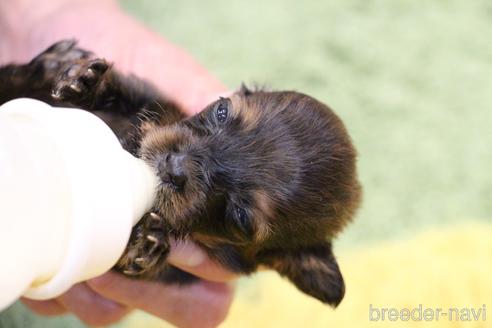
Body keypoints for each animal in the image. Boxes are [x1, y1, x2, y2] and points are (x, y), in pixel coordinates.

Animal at [0, 39, 362, 306]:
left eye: (241, 216)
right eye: (221, 111)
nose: (173, 165)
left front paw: (144, 246)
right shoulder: (157, 103)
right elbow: (133, 92)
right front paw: (85, 81)